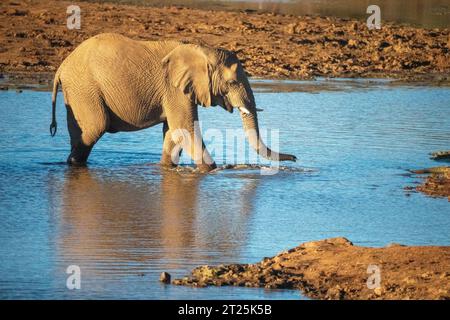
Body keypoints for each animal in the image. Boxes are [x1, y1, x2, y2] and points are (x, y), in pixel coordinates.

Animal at [50, 33, 296, 171]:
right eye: (233, 82)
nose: (294, 158)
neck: (203, 50)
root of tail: (62, 66)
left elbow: (173, 132)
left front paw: (166, 168)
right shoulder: (174, 88)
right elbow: (184, 128)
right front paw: (212, 170)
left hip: (77, 90)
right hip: (84, 88)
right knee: (95, 127)